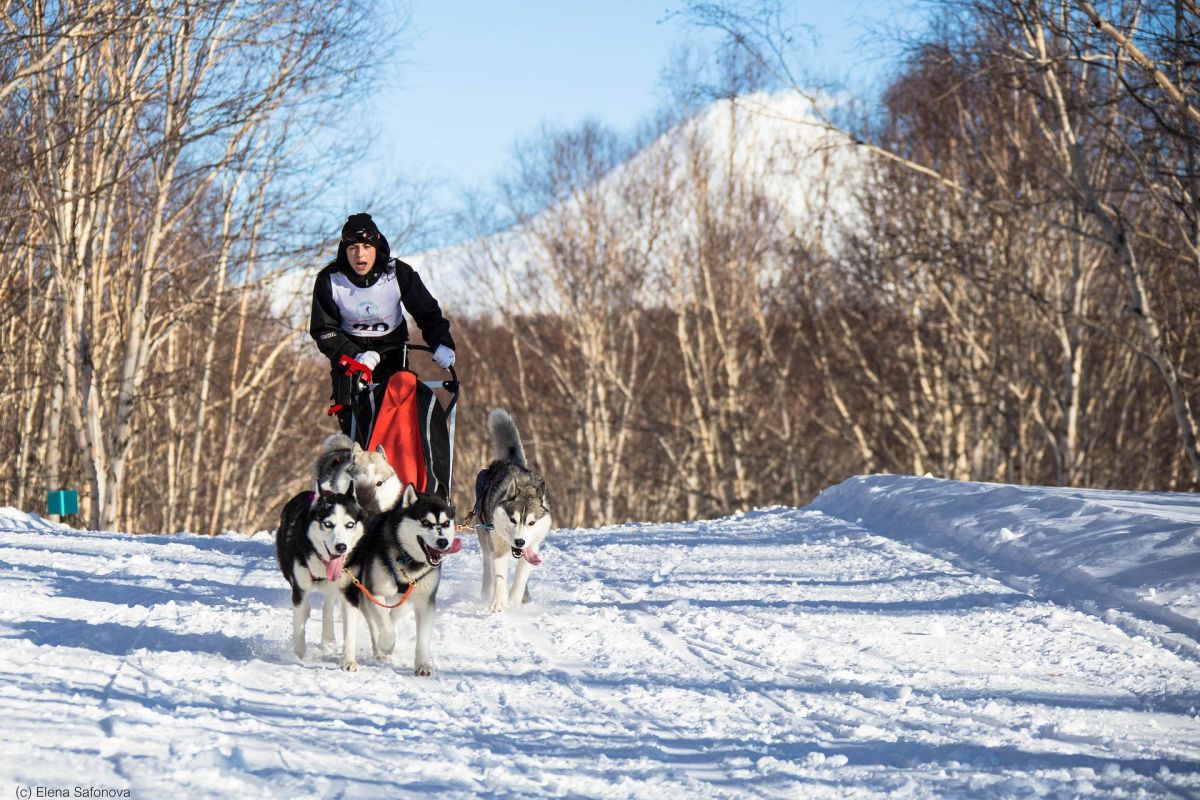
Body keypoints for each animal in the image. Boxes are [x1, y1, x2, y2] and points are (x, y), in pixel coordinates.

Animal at [278, 491, 367, 662]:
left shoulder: (350, 591)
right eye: (328, 524)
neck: (323, 563)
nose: (341, 547)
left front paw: (348, 661)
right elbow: (298, 625)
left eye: (350, 525)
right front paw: (299, 655)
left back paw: (328, 640)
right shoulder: (300, 587)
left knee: (329, 603)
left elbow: (350, 630)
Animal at [345, 482, 465, 676]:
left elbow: (422, 637)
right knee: (376, 622)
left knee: (393, 615)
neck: (408, 559)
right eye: (425, 522)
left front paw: (422, 664)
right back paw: (380, 648)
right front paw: (386, 644)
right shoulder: (375, 593)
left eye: (446, 523)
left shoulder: (425, 601)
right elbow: (386, 628)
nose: (443, 542)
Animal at [475, 410, 554, 618]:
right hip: (485, 539)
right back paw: (487, 591)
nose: (519, 542)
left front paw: (515, 599)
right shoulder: (499, 548)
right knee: (488, 566)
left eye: (532, 523)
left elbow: (521, 577)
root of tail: (510, 461)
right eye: (512, 520)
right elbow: (500, 576)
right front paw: (499, 601)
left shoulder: (532, 547)